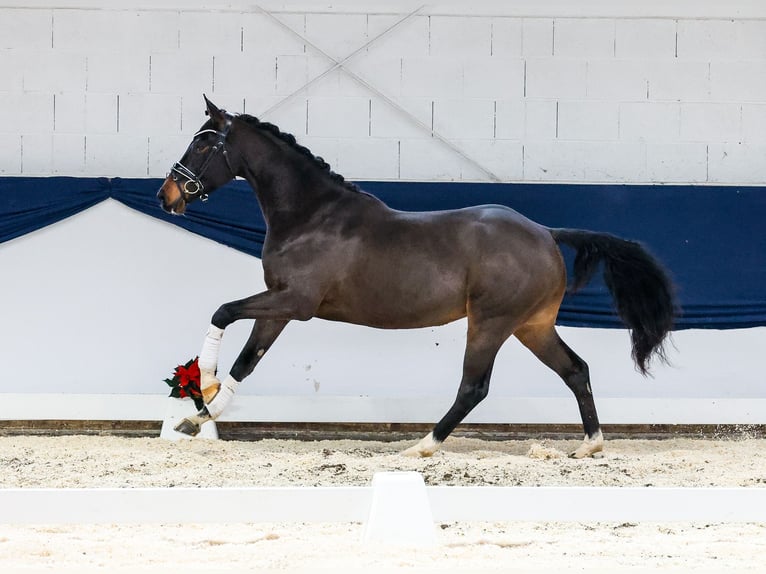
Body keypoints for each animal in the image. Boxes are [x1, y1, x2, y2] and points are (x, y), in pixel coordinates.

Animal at [159, 97, 676, 462]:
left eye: (203, 143)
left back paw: (423, 445)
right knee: (575, 370)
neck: (312, 216)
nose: (168, 195)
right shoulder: (280, 306)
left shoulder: (294, 302)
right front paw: (199, 415)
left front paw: (202, 392)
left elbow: (223, 313)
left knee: (474, 387)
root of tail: (546, 233)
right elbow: (247, 361)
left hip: (491, 323)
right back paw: (589, 445)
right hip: (532, 326)